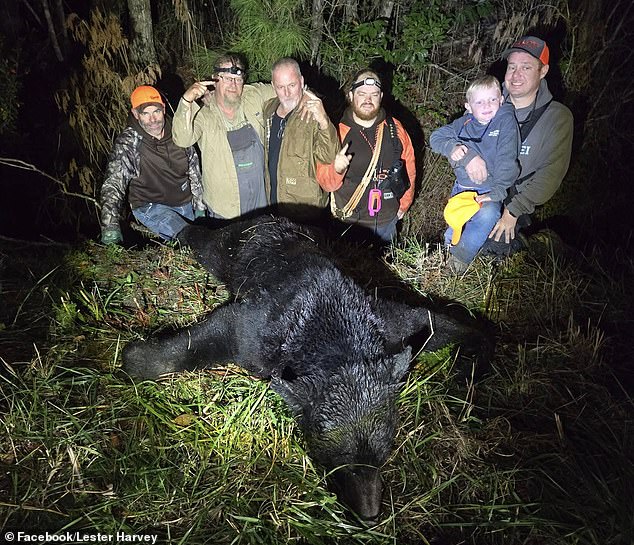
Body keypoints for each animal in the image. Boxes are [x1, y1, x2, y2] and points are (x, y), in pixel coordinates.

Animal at [121, 216, 482, 520]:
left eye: (382, 455)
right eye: (339, 459)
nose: (369, 514)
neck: (334, 336)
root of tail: (273, 217)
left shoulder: (388, 322)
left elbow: (433, 319)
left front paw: (477, 352)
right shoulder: (255, 333)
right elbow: (206, 337)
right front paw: (134, 358)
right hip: (232, 247)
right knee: (206, 241)